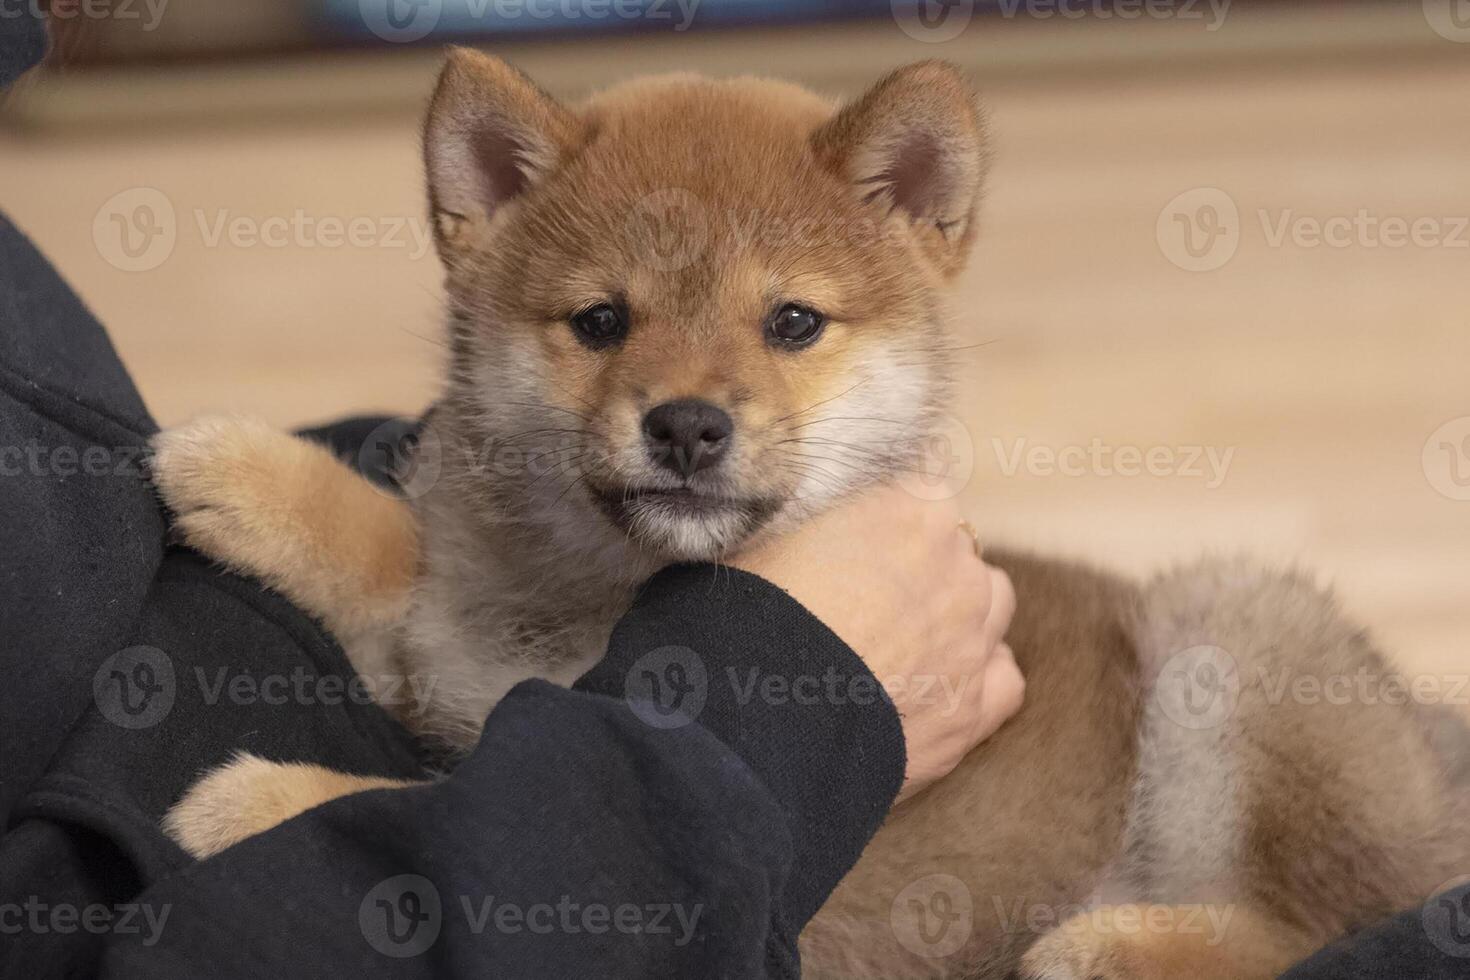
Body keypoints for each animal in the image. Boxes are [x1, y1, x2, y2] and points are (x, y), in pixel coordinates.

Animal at [152, 49, 1470, 980]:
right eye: (600, 321)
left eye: (792, 321)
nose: (687, 425)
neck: (592, 599)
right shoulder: (453, 641)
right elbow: (404, 560)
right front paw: (248, 470)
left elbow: (428, 803)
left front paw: (259, 801)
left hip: (1240, 629)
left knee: (1324, 923)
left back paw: (1114, 944)